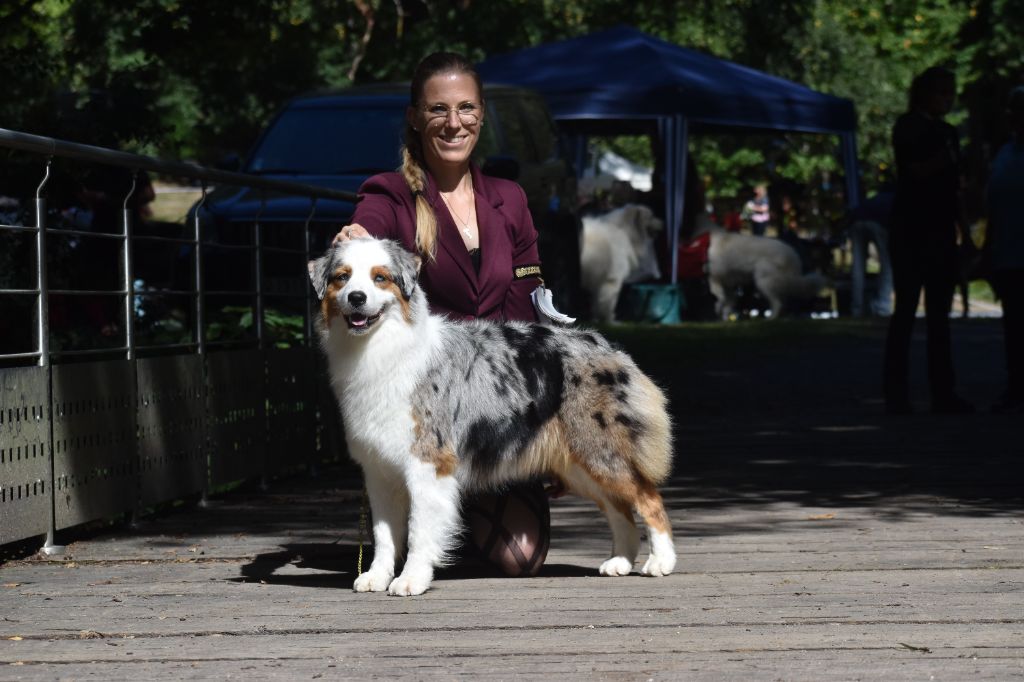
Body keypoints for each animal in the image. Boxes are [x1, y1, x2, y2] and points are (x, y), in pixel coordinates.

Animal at [307, 236, 675, 593]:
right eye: (342, 277)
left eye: (379, 278)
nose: (356, 298)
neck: (381, 346)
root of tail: (604, 345)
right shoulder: (379, 471)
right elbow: (384, 535)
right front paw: (376, 577)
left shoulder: (428, 463)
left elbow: (418, 532)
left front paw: (411, 579)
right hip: (579, 463)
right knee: (620, 508)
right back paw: (621, 561)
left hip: (599, 448)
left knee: (648, 498)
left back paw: (661, 562)